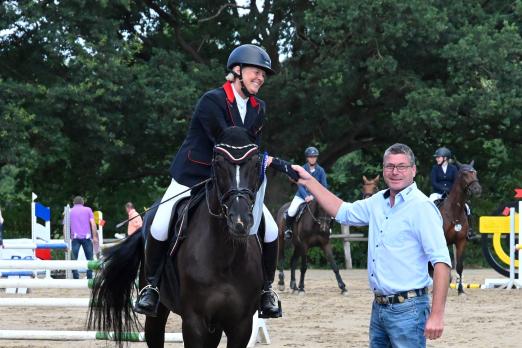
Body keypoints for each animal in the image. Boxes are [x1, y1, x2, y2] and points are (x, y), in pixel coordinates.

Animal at [88, 126, 264, 346]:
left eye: (256, 163)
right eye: (218, 163)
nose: (239, 221)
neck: (226, 257)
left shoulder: (241, 324)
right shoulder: (194, 321)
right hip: (157, 307)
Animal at [434, 160, 480, 294]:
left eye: (475, 172)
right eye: (464, 174)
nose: (477, 189)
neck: (454, 211)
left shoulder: (461, 241)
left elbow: (459, 266)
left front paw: (460, 290)